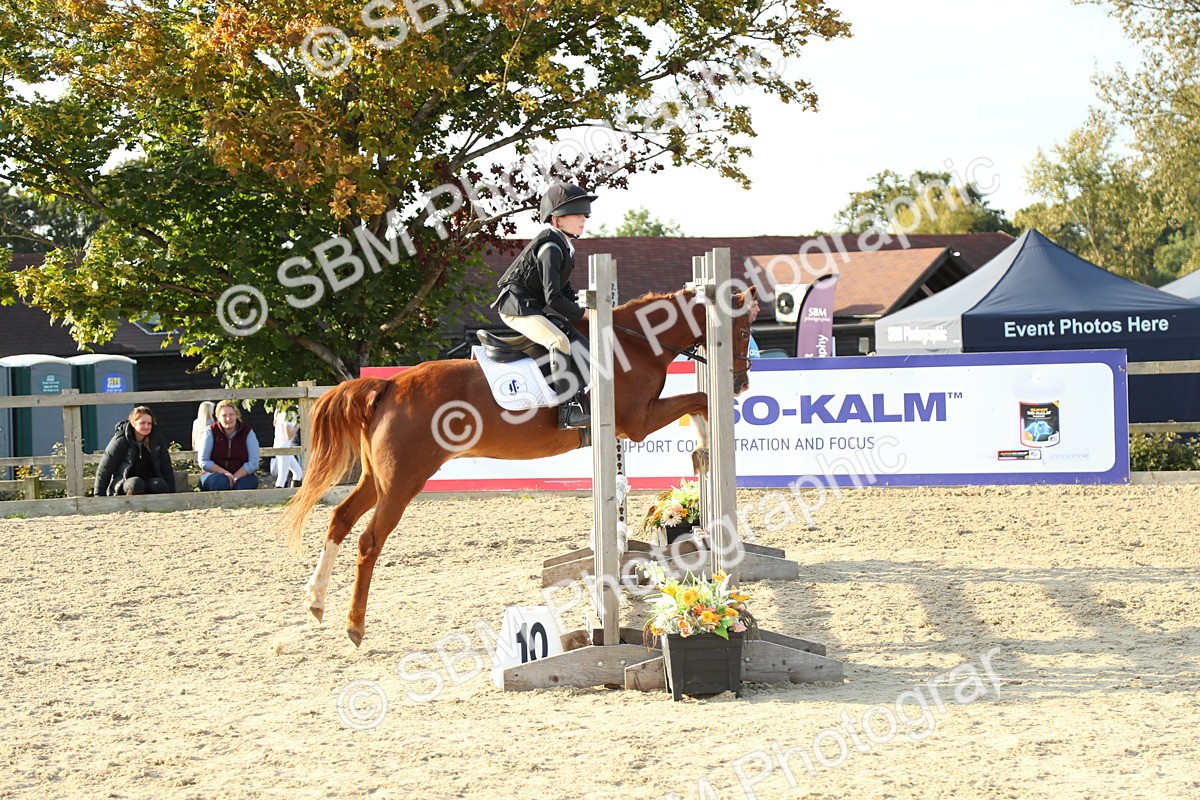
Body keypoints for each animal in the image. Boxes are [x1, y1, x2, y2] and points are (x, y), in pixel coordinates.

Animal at [283, 286, 757, 646]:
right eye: (743, 328)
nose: (741, 382)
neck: (636, 341)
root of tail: (387, 385)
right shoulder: (637, 421)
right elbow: (699, 399)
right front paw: (705, 444)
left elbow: (697, 401)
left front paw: (703, 450)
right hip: (402, 481)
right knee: (369, 541)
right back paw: (354, 626)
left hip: (376, 478)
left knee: (340, 519)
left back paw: (315, 601)